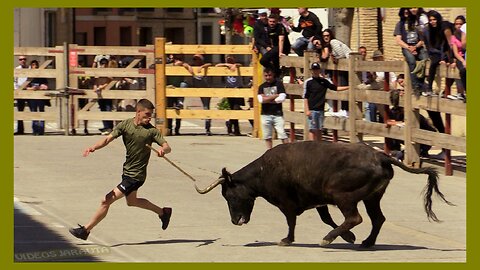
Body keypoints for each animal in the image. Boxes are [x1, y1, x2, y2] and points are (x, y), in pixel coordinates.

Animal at [196, 140, 454, 248]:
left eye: (229, 195)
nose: (235, 221)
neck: (263, 171)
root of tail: (381, 156)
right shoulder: (317, 200)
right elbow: (325, 217)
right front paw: (348, 238)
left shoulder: (287, 202)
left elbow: (291, 221)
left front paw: (287, 240)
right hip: (372, 197)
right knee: (377, 219)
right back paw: (366, 242)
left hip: (344, 196)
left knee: (355, 217)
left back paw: (327, 239)